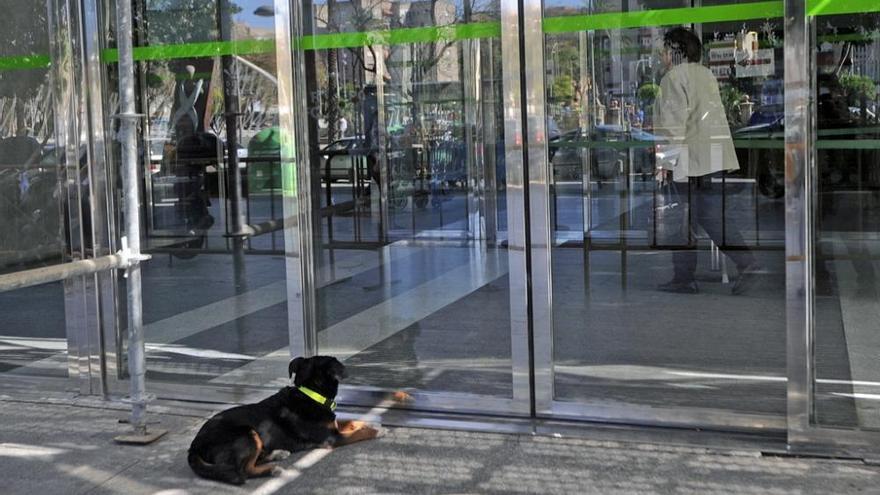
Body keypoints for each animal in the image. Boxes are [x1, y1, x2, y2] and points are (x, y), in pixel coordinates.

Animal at [189, 356, 382, 484]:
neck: (309, 394)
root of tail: (194, 445)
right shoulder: (332, 438)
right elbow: (360, 432)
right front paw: (379, 431)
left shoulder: (332, 426)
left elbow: (353, 422)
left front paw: (374, 423)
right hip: (246, 434)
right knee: (243, 469)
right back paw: (273, 469)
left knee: (254, 460)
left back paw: (277, 454)